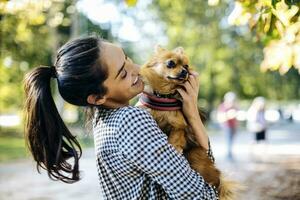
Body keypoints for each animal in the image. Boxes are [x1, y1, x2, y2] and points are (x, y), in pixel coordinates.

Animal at [137, 45, 240, 200]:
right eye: (171, 63)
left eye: (186, 66)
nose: (185, 71)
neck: (164, 97)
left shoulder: (180, 124)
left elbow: (177, 133)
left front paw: (175, 146)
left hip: (194, 154)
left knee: (211, 180)